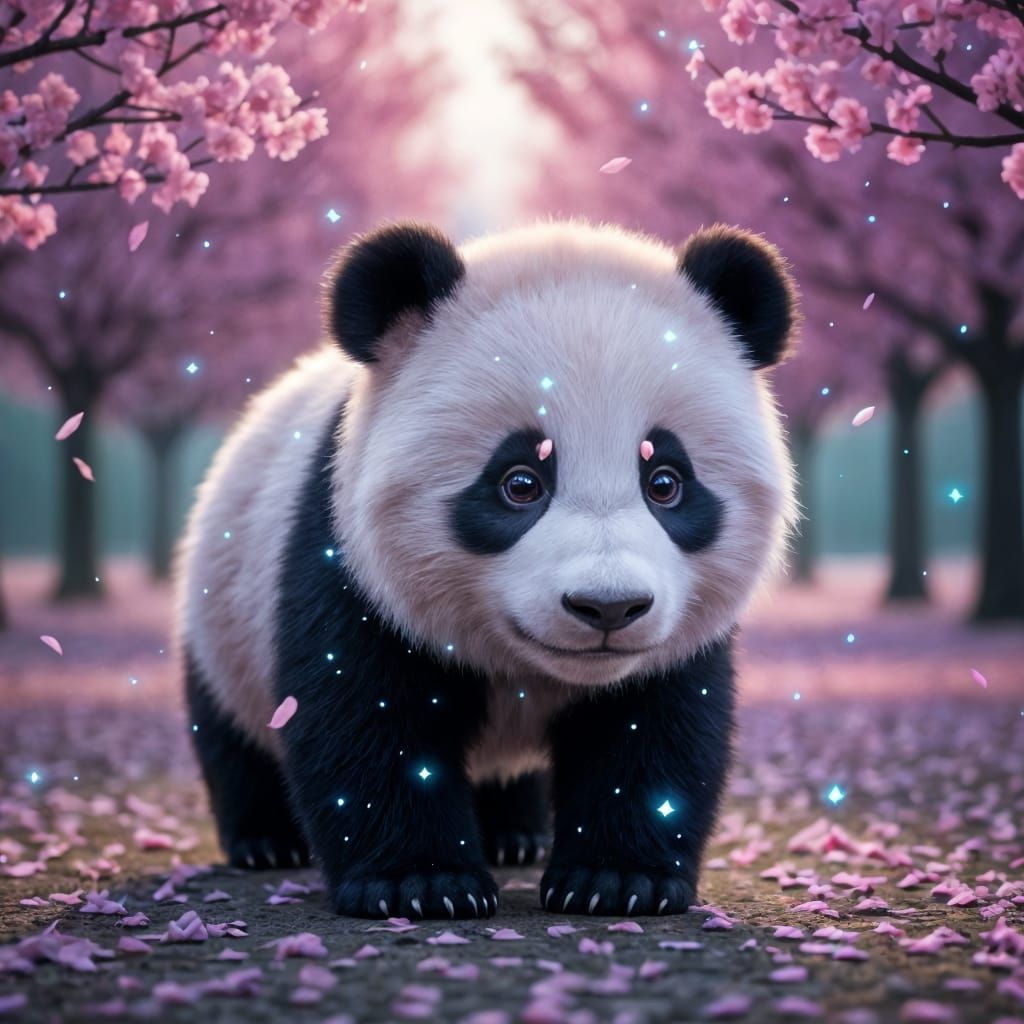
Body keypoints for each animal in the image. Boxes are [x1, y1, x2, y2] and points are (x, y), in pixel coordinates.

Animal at [176, 219, 798, 920]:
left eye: (665, 482)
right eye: (520, 483)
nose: (607, 607)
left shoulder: (673, 635)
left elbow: (657, 724)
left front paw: (615, 880)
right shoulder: (343, 558)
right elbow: (365, 714)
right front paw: (420, 885)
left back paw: (515, 834)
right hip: (225, 599)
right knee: (235, 731)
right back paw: (265, 843)